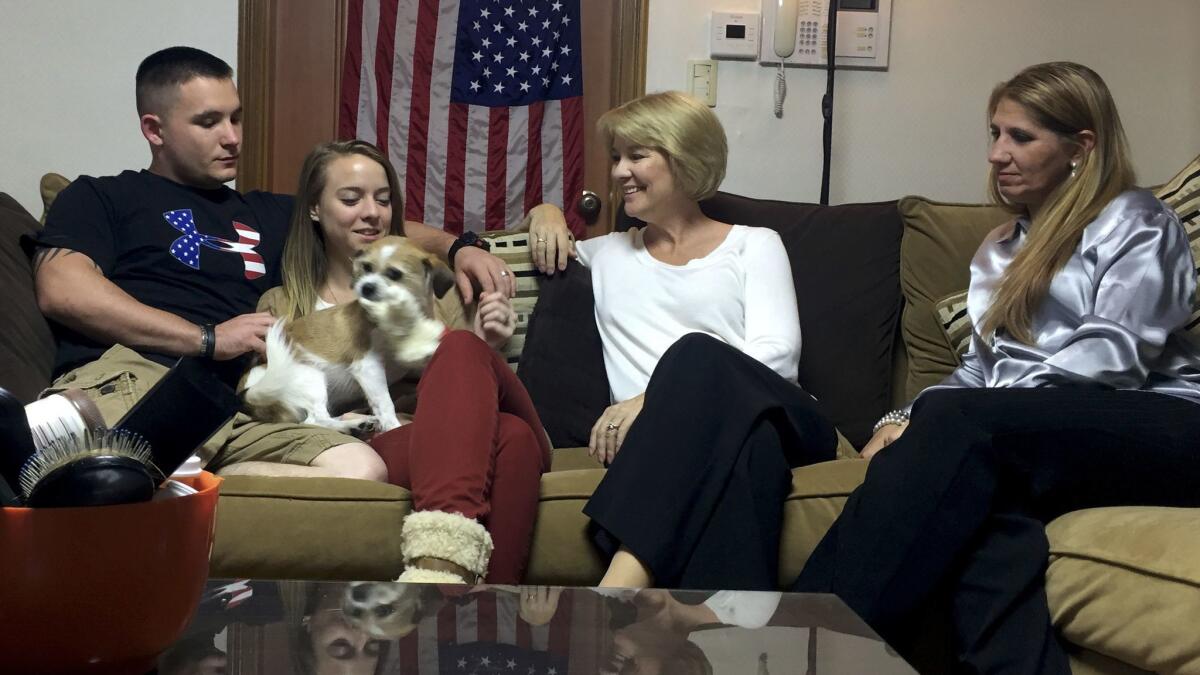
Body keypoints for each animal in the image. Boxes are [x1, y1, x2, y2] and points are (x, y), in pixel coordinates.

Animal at [242, 236, 453, 432]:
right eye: (366, 267)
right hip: (311, 377)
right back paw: (354, 424)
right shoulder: (368, 366)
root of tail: (246, 392)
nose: (366, 287)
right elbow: (385, 402)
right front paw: (393, 426)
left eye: (394, 274)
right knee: (316, 420)